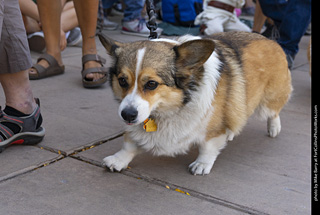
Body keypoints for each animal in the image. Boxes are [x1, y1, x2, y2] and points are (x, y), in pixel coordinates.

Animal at [97, 32, 292, 176]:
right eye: (122, 81)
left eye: (151, 84)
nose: (127, 115)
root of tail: (270, 40)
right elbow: (129, 144)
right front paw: (119, 160)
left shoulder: (211, 129)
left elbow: (208, 147)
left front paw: (202, 164)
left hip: (268, 102)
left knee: (273, 112)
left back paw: (274, 128)